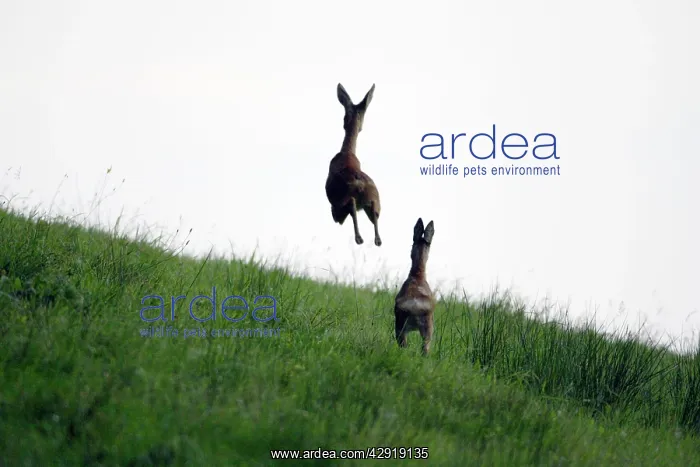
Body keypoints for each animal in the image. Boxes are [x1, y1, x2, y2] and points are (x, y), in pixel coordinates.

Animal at [325, 83, 382, 246]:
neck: (347, 153)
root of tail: (360, 184)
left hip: (341, 200)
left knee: (350, 204)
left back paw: (359, 238)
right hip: (375, 200)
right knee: (374, 213)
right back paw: (377, 240)